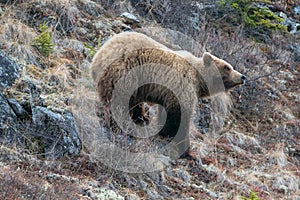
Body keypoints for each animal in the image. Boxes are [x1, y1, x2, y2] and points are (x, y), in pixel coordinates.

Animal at [91, 31, 246, 158]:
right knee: (118, 103)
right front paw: (185, 148)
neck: (199, 79)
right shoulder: (182, 85)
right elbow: (180, 115)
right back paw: (120, 124)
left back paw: (141, 118)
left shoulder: (167, 92)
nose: (243, 76)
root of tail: (99, 54)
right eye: (227, 67)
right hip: (125, 73)